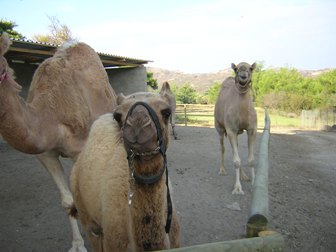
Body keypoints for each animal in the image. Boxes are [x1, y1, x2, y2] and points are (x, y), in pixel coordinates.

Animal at [0, 32, 117, 251]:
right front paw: (78, 244)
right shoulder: (45, 154)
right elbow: (68, 201)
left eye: (1, 68)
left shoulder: (80, 149)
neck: (50, 114)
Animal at [215, 61, 258, 195]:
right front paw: (238, 188)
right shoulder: (231, 130)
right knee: (222, 148)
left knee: (237, 149)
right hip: (219, 128)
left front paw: (253, 185)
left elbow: (251, 159)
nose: (243, 76)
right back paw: (222, 170)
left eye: (251, 68)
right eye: (236, 69)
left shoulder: (252, 129)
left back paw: (244, 176)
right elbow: (236, 161)